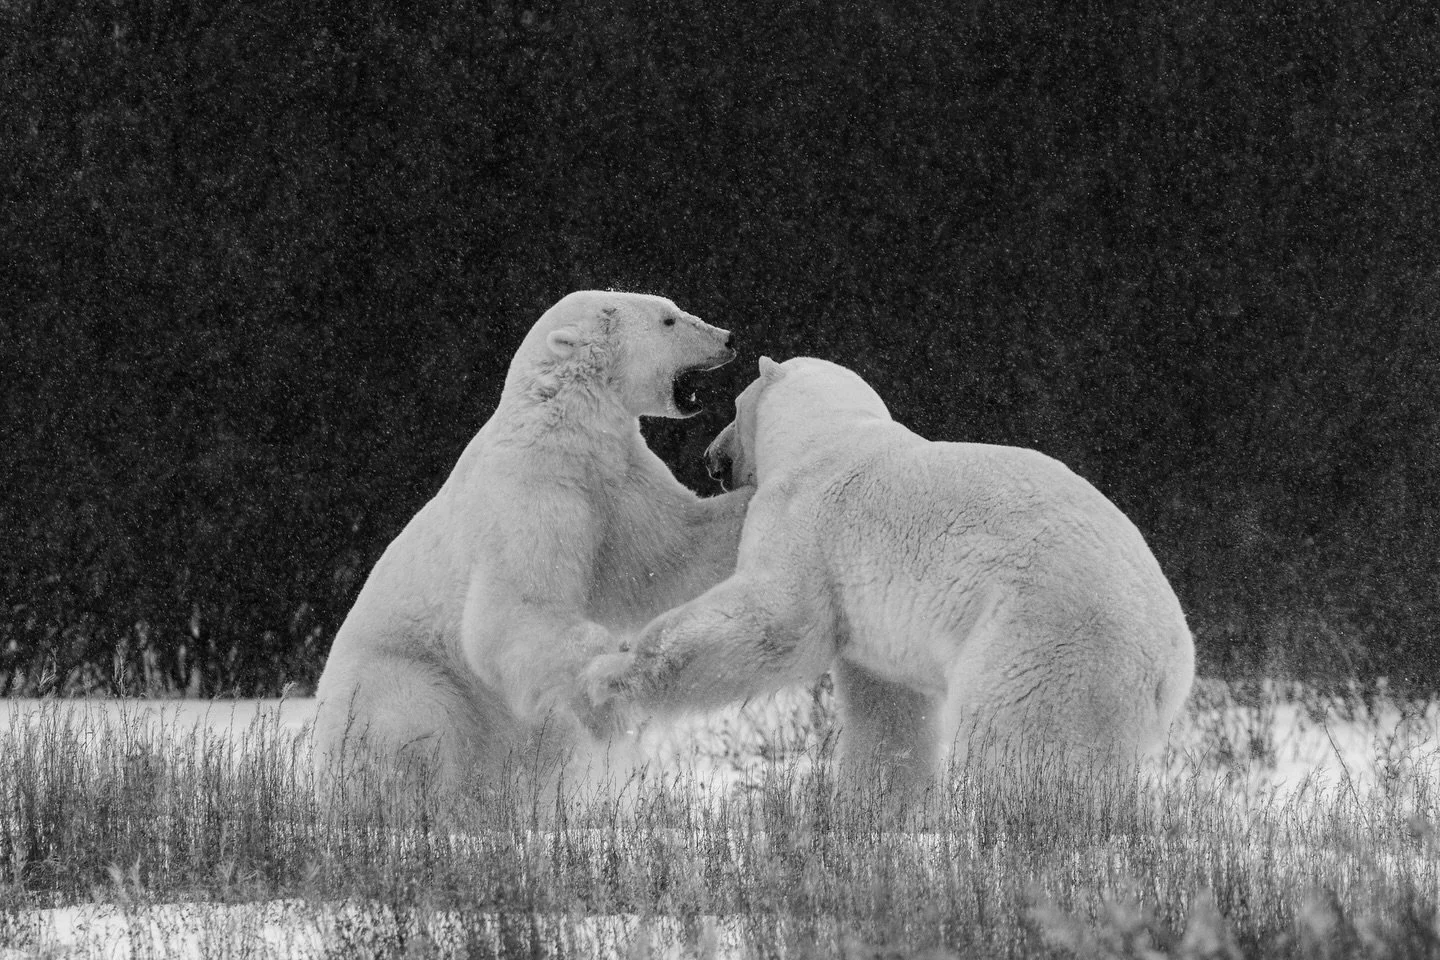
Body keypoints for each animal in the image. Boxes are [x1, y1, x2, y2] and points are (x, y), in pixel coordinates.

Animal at [313, 291, 754, 803]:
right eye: (668, 320)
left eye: (675, 308)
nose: (729, 338)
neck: (560, 427)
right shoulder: (532, 493)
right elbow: (511, 612)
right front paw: (610, 691)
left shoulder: (615, 480)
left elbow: (672, 552)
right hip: (402, 677)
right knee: (417, 732)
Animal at [578, 356, 1195, 802]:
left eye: (734, 406)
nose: (712, 458)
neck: (824, 436)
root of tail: (1168, 657)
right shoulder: (884, 624)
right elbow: (889, 705)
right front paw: (881, 805)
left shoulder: (807, 522)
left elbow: (771, 623)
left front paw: (604, 676)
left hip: (1044, 640)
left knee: (1025, 750)